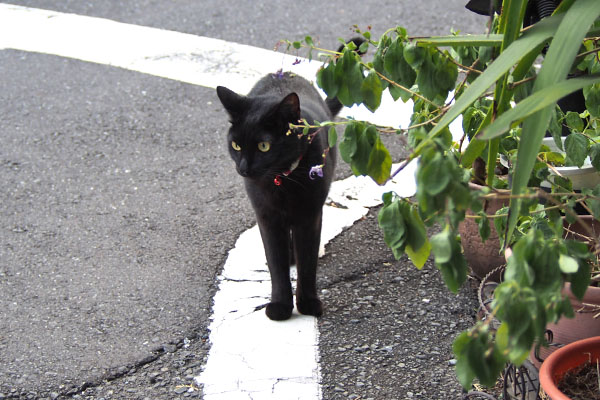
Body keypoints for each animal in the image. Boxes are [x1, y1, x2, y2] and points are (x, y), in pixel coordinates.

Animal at [216, 70, 342, 320]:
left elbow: (307, 262)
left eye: (264, 146)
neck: (283, 181)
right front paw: (280, 306)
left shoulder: (310, 216)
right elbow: (276, 261)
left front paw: (308, 303)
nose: (243, 169)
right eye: (236, 146)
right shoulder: (267, 217)